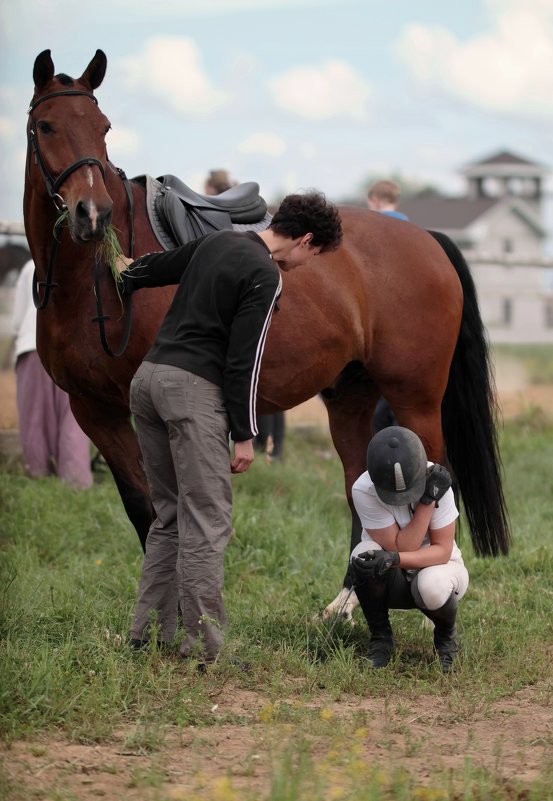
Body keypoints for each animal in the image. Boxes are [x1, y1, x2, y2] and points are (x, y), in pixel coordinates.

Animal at [24, 48, 508, 608]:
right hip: (350, 397)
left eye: (102, 127)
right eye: (46, 125)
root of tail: (427, 239)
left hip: (416, 398)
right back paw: (348, 599)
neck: (91, 281)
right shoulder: (95, 412)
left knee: (429, 483)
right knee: (359, 488)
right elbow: (142, 510)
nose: (92, 214)